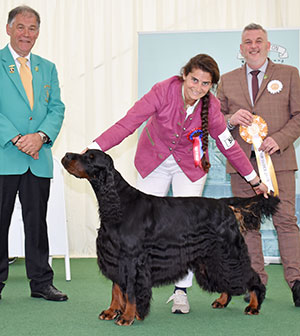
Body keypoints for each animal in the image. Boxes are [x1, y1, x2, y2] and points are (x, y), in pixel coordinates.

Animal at [62, 150, 280, 326]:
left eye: (91, 157)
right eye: (84, 153)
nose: (66, 155)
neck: (118, 204)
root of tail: (224, 204)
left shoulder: (132, 260)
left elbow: (130, 291)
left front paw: (127, 316)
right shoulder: (116, 257)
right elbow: (116, 288)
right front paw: (111, 311)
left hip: (229, 251)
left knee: (251, 276)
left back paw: (254, 305)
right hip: (213, 256)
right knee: (226, 277)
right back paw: (222, 300)